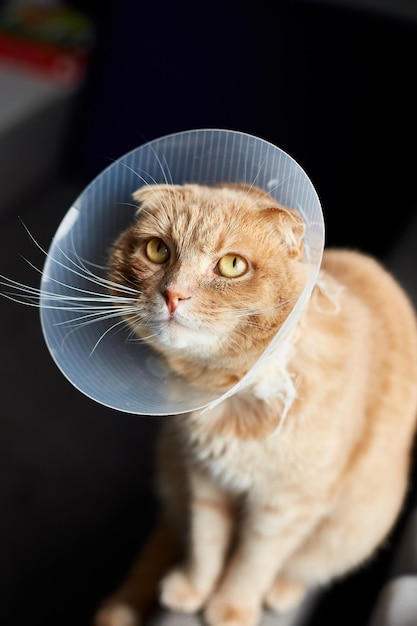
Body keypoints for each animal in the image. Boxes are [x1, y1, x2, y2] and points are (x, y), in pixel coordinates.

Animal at [92, 180, 416, 624]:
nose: (173, 295)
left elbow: (253, 561)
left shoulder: (284, 506)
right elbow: (206, 544)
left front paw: (231, 607)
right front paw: (196, 588)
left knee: (308, 565)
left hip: (357, 526)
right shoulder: (204, 483)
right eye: (158, 250)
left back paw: (283, 589)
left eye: (232, 265)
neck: (237, 395)